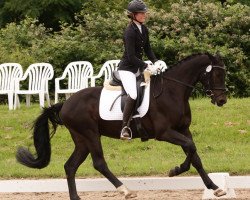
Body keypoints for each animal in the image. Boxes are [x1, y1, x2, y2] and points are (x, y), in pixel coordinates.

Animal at [16, 52, 229, 199]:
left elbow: (195, 155)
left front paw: (214, 187)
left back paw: (76, 197)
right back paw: (126, 190)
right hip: (90, 134)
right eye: (216, 74)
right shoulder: (164, 133)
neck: (172, 91)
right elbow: (190, 148)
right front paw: (176, 170)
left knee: (70, 166)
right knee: (99, 163)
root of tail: (65, 104)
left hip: (81, 140)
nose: (222, 100)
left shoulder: (183, 130)